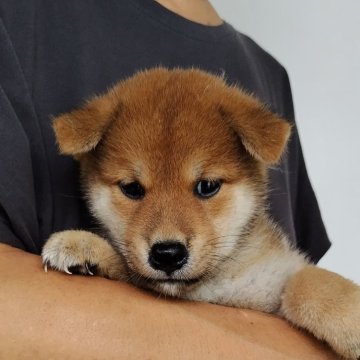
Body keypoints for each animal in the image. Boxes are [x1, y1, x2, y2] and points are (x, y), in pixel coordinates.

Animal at [43, 68, 360, 360]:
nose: (167, 254)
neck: (214, 286)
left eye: (207, 186)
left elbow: (307, 283)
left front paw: (351, 318)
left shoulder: (272, 277)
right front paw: (86, 246)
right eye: (132, 188)